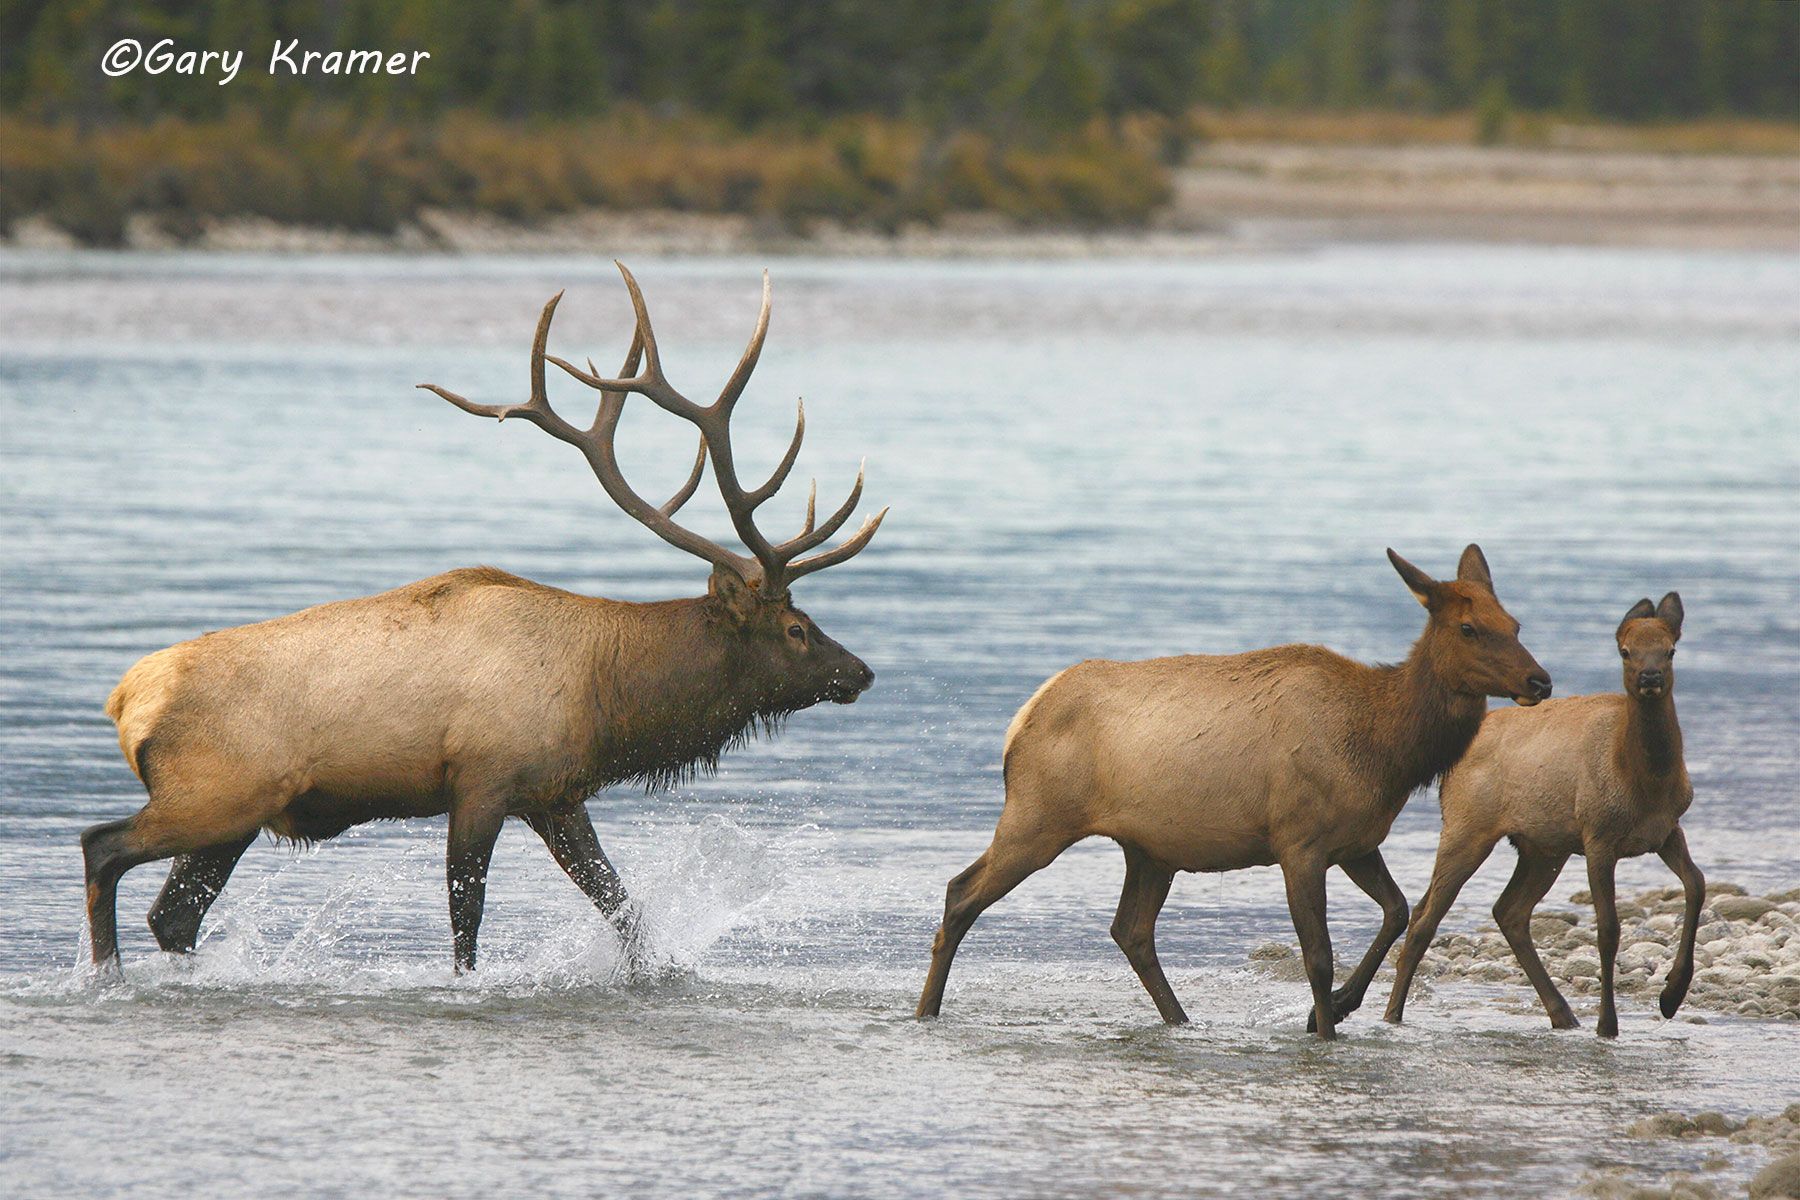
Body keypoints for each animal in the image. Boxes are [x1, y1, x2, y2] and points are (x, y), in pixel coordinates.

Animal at [84, 263, 886, 975]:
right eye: (796, 630)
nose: (860, 672)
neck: (607, 697)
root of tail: (126, 699)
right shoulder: (482, 779)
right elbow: (466, 917)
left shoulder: (556, 795)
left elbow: (623, 907)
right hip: (216, 792)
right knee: (103, 847)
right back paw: (104, 972)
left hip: (235, 816)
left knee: (173, 914)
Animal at [915, 545, 1552, 1039]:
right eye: (1469, 628)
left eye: (1516, 624)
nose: (1540, 680)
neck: (1384, 753)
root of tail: (1021, 719)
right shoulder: (1299, 841)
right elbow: (1317, 957)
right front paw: (1323, 1029)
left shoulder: (1356, 841)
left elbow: (1396, 911)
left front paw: (1339, 1009)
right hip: (1039, 816)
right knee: (961, 892)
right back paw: (926, 1012)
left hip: (1149, 849)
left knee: (1131, 930)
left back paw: (1181, 1020)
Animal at [1384, 593, 1698, 1038]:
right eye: (1625, 651)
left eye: (1670, 650)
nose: (1650, 677)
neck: (1645, 783)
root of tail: (1447, 766)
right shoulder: (1598, 834)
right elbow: (1608, 929)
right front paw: (1608, 1023)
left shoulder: (1667, 829)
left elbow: (1696, 885)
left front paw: (1672, 995)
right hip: (1467, 826)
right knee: (1426, 918)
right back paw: (1391, 1014)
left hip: (1544, 846)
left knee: (1508, 911)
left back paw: (1562, 1013)